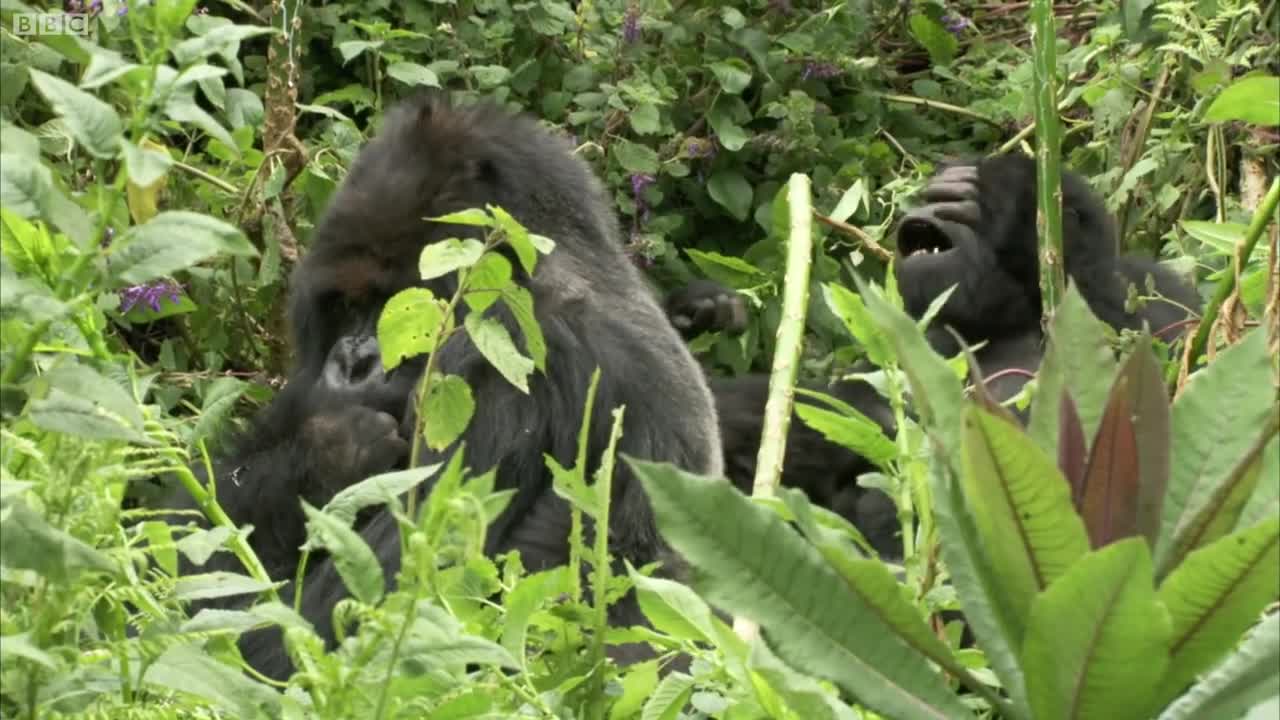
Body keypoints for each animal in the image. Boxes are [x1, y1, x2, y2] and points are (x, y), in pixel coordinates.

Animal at [161, 94, 727, 676]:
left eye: (399, 308)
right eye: (345, 306)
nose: (354, 364)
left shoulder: (496, 362)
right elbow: (189, 521)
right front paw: (323, 454)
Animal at [665, 152, 1203, 556]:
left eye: (958, 200)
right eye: (929, 198)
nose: (922, 210)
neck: (1026, 309)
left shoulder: (1154, 306)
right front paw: (694, 315)